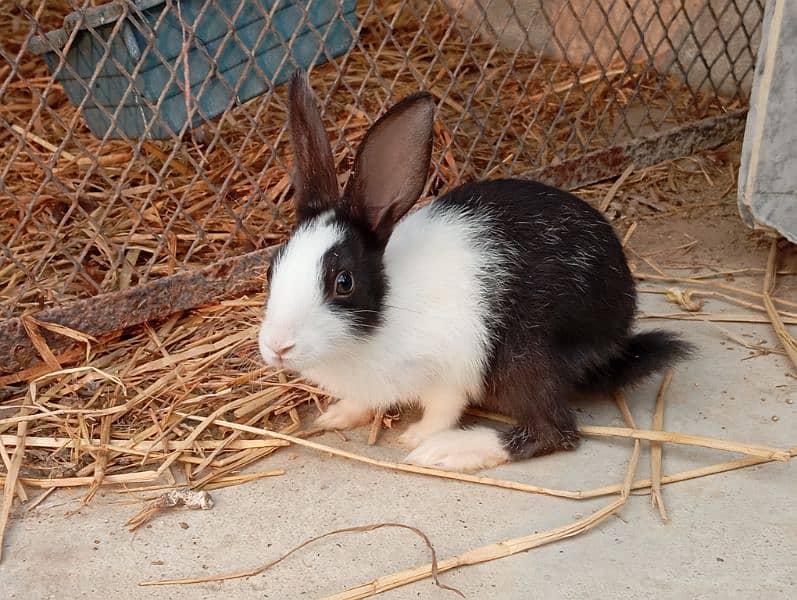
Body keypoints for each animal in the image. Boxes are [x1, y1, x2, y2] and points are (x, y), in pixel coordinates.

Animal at [260, 71, 692, 474]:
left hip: (522, 356)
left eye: (343, 282)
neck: (386, 309)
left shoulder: (452, 367)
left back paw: (450, 451)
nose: (278, 347)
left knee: (554, 430)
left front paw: (416, 438)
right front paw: (337, 415)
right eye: (271, 268)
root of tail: (617, 333)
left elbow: (442, 410)